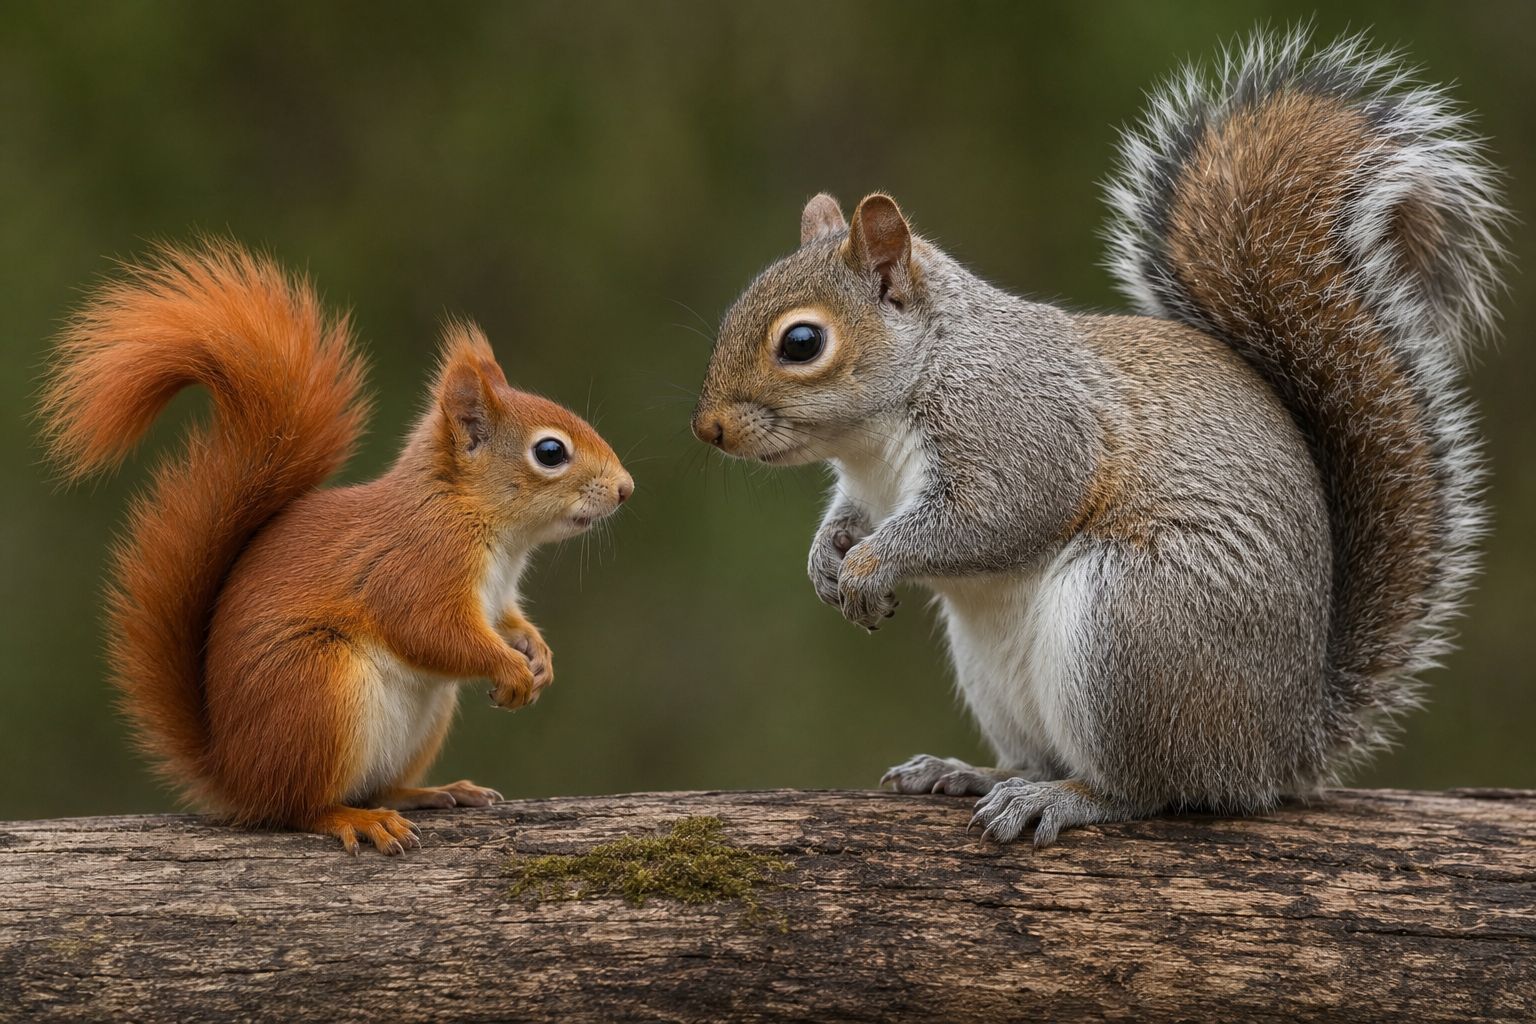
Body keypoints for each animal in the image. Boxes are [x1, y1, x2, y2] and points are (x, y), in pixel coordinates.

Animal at [40, 241, 633, 854]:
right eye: (550, 452)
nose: (625, 489)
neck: (486, 526)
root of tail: (235, 775)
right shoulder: (419, 566)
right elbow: (431, 631)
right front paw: (510, 668)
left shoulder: (497, 596)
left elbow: (508, 622)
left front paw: (537, 656)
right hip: (320, 690)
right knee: (299, 808)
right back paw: (355, 819)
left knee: (376, 786)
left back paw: (429, 792)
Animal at [691, 29, 1508, 844]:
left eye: (802, 342)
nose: (708, 428)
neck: (888, 418)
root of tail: (1279, 748)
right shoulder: (866, 486)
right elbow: (847, 518)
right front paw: (826, 563)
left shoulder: (1018, 427)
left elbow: (994, 516)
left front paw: (869, 566)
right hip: (1001, 672)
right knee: (1040, 753)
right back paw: (969, 772)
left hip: (1134, 627)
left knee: (1153, 787)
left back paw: (1064, 798)